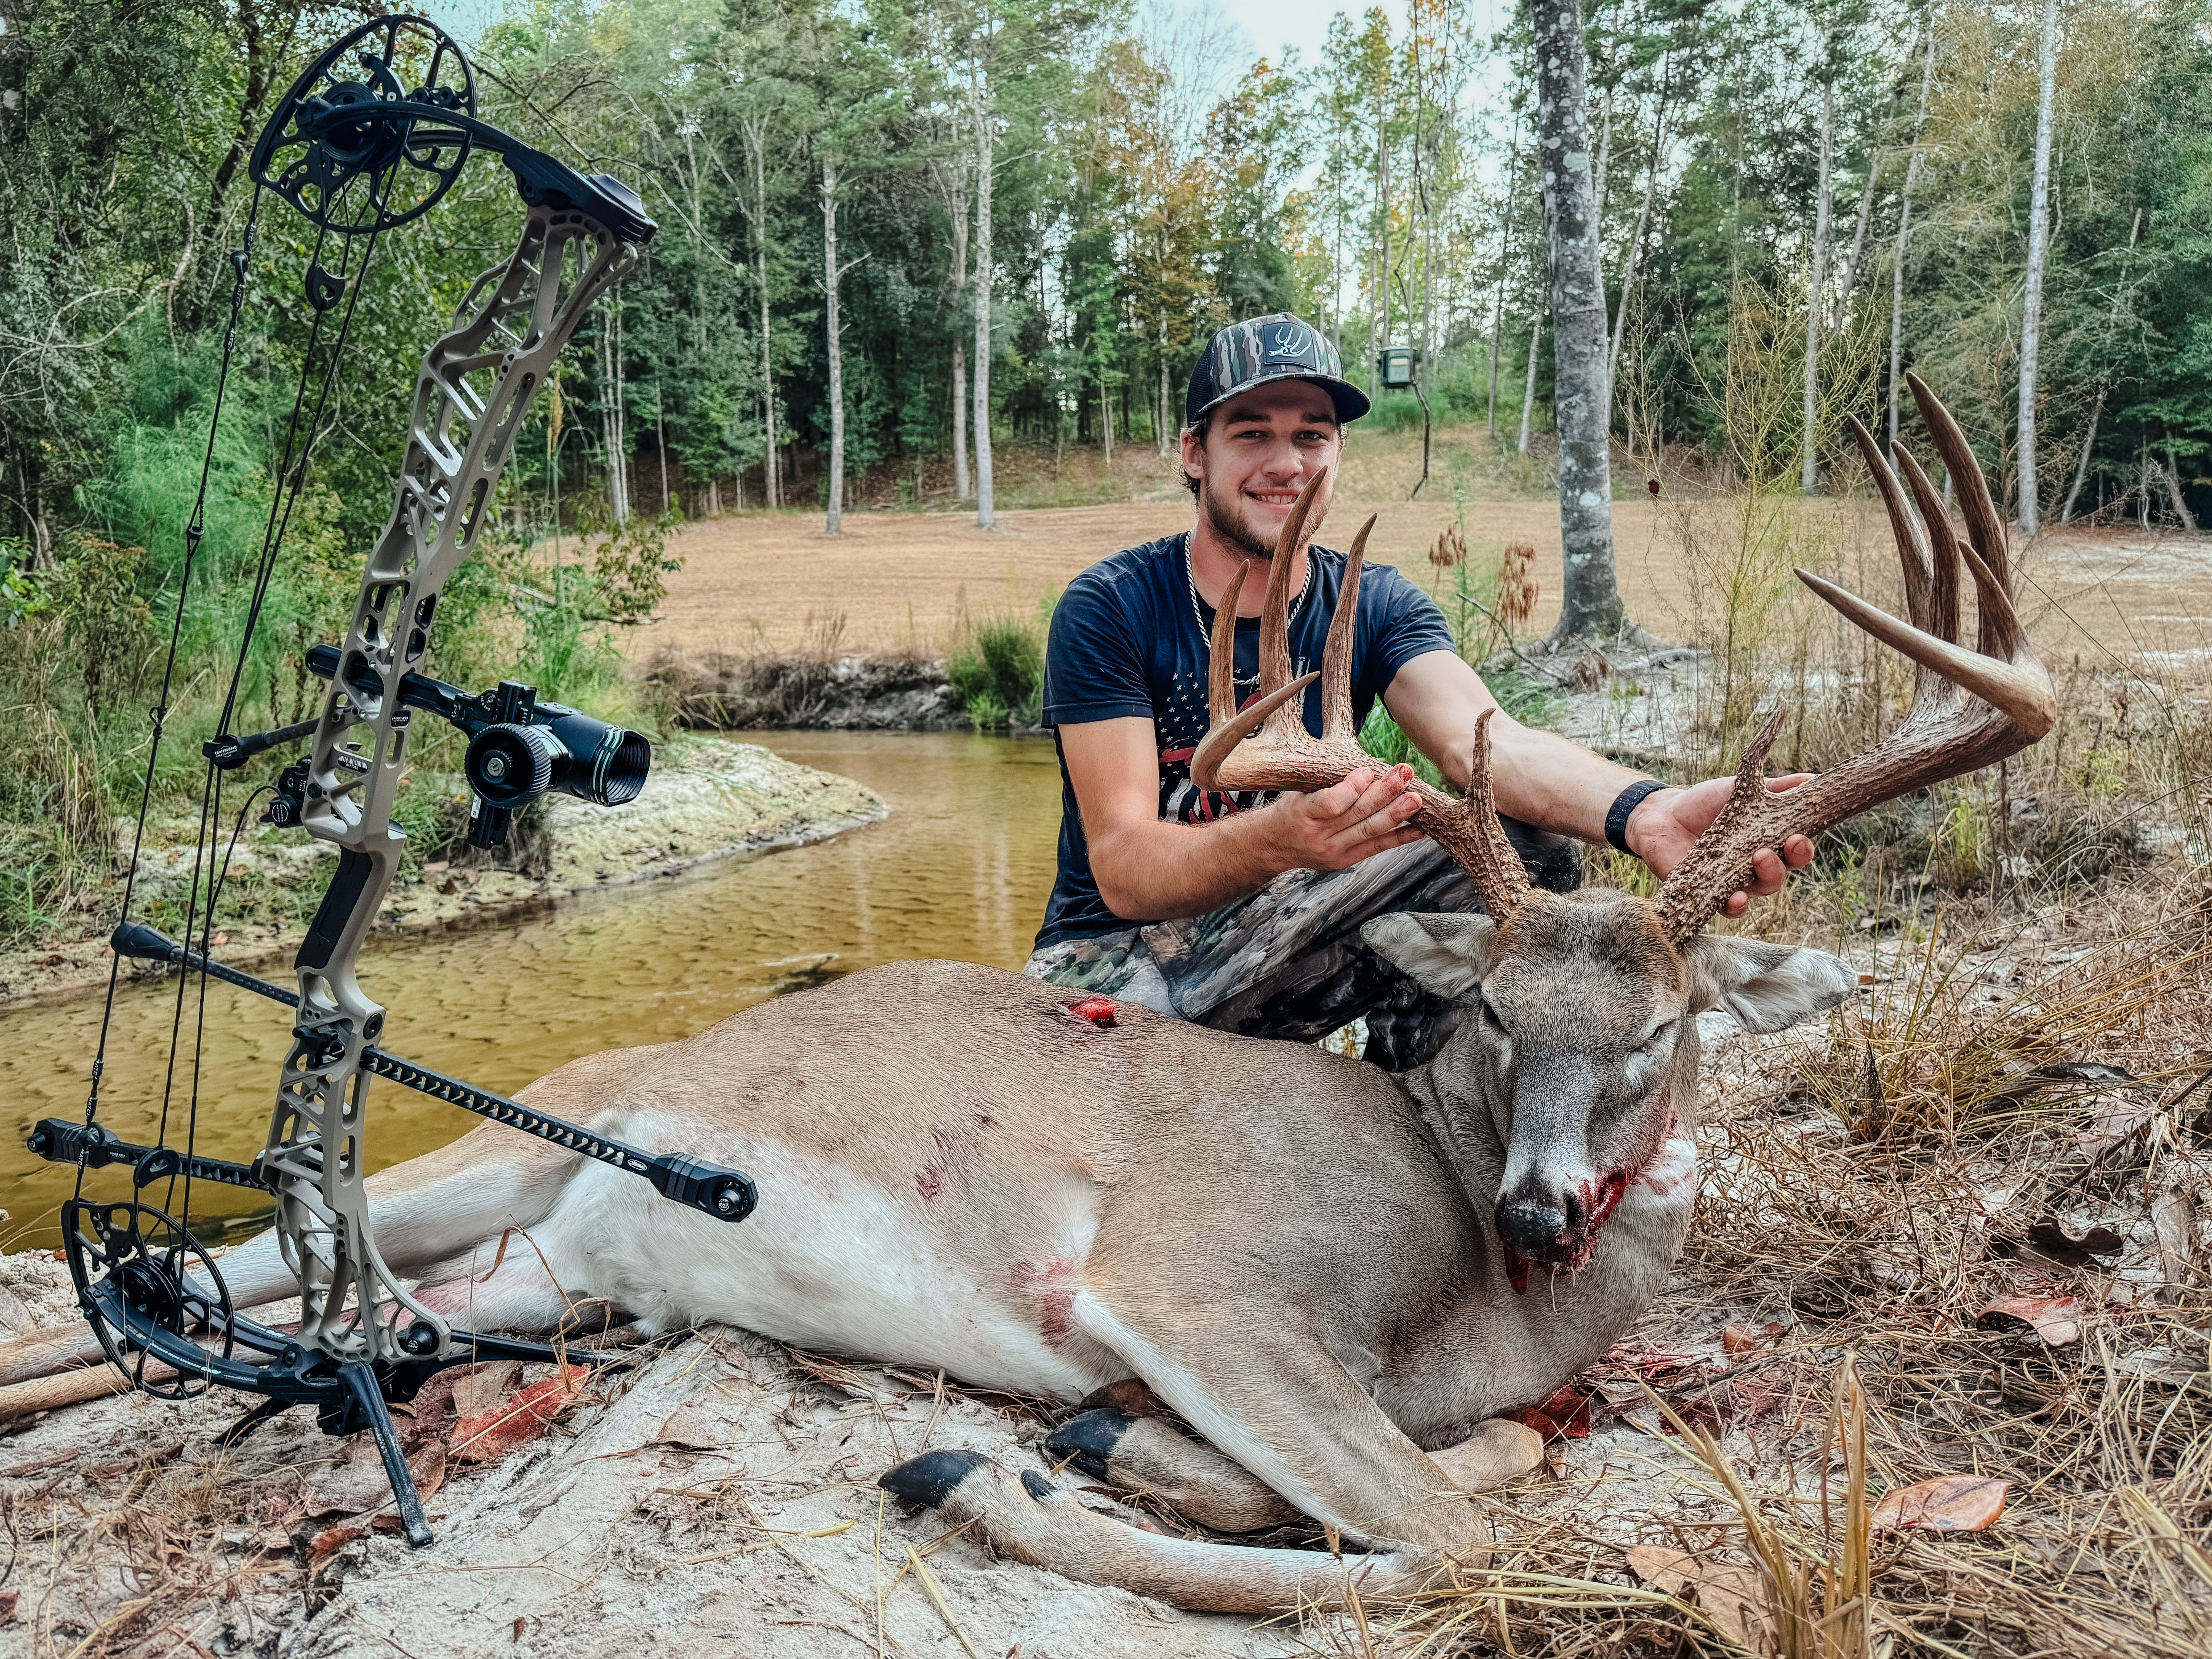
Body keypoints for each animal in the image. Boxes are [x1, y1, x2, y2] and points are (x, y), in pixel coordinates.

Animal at [5, 379, 2050, 1614]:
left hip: (534, 1272)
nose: (1546, 1205)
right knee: (216, 1263)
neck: (1487, 1298)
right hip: (518, 1140)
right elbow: (1458, 1536)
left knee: (266, 1309)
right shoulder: (1198, 1284)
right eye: (1491, 1019)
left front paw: (1096, 1453)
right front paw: (1000, 1478)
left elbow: (1461, 1483)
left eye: (1660, 1034)